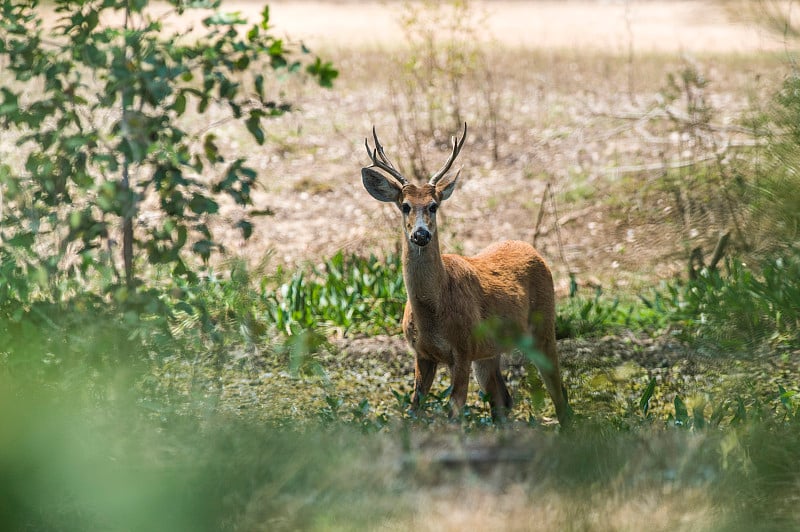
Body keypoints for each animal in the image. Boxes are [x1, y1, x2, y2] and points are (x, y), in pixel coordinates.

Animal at [360, 122, 572, 426]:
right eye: (405, 206)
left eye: (434, 205)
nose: (421, 234)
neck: (432, 313)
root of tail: (533, 250)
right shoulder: (422, 354)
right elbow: (414, 407)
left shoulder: (462, 350)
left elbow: (454, 410)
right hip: (489, 351)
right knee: (502, 400)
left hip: (542, 325)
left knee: (557, 389)